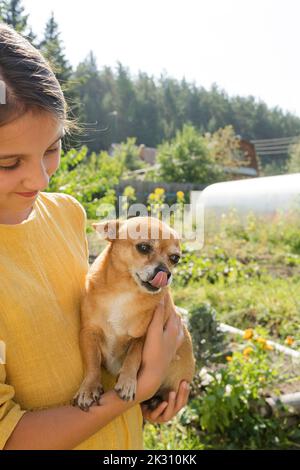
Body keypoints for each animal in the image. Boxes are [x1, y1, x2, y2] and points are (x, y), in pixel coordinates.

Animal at [72, 217, 195, 412]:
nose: (165, 273)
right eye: (143, 247)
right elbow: (92, 362)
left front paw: (127, 382)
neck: (124, 292)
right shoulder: (88, 332)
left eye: (175, 258)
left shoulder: (141, 337)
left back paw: (154, 401)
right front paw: (89, 388)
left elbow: (133, 357)